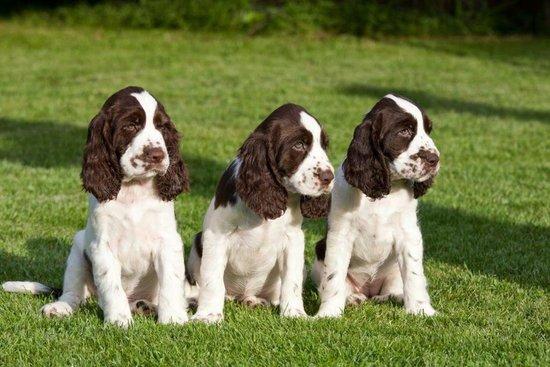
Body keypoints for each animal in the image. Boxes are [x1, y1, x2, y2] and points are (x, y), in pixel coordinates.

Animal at [2, 86, 190, 328]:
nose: (158, 155)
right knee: (74, 294)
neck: (134, 191)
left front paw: (174, 318)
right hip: (77, 247)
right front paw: (119, 320)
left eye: (162, 127)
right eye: (131, 125)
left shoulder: (168, 241)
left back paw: (146, 307)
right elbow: (111, 284)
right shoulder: (101, 246)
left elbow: (171, 282)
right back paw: (60, 307)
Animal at [188, 104, 336, 324]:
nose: (329, 177)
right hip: (198, 243)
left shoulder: (293, 239)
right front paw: (208, 316)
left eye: (324, 145)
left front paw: (294, 313)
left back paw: (257, 301)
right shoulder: (216, 236)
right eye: (299, 145)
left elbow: (291, 280)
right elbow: (211, 279)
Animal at [314, 95, 440, 320]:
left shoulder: (409, 233)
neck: (384, 192)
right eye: (404, 131)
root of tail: (369, 290)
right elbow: (333, 277)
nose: (435, 159)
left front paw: (421, 309)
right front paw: (328, 313)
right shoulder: (340, 235)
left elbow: (414, 274)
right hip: (320, 252)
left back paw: (393, 296)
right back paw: (352, 298)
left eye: (428, 130)